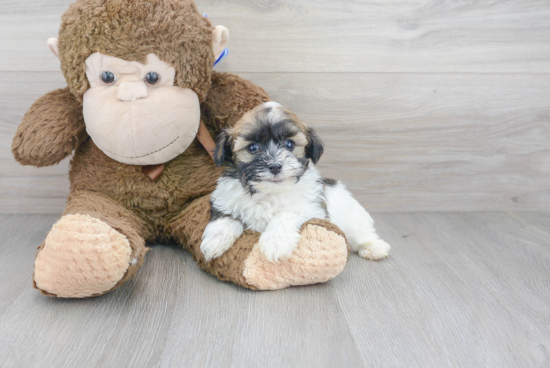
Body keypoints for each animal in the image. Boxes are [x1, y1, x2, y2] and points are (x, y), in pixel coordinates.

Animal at [201, 102, 390, 264]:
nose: (275, 166)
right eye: (253, 147)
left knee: (362, 233)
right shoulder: (225, 198)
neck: (269, 191)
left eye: (289, 144)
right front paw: (214, 240)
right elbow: (225, 216)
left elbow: (286, 214)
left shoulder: (311, 207)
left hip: (354, 219)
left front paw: (275, 243)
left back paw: (374, 247)